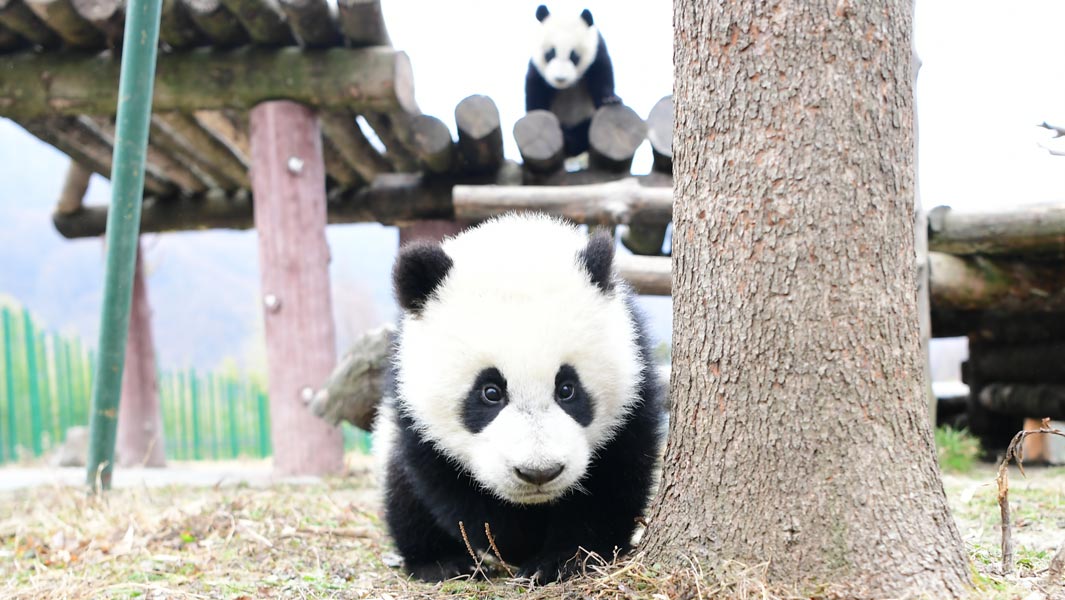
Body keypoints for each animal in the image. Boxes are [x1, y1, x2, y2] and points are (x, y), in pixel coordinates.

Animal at [375, 214, 664, 583]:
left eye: (567, 389)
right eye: (490, 392)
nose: (539, 473)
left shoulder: (633, 384)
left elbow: (614, 480)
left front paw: (562, 559)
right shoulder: (411, 406)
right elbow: (452, 489)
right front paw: (519, 544)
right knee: (403, 494)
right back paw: (443, 561)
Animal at [526, 5, 621, 157]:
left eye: (574, 56)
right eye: (550, 53)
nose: (560, 79)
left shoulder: (596, 51)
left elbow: (602, 75)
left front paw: (610, 99)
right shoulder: (537, 67)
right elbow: (535, 88)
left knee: (585, 129)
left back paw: (571, 139)